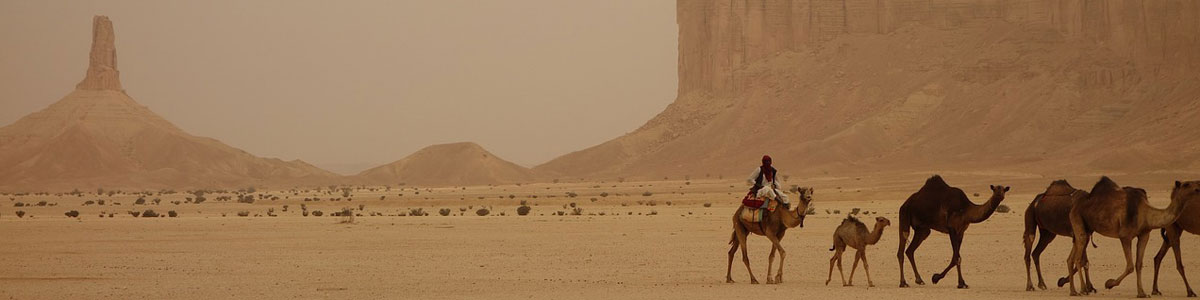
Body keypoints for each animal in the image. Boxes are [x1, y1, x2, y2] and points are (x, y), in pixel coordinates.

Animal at [1065, 176, 1195, 296]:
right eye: (1186, 184)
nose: (1197, 188)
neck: (1146, 213)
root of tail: (1074, 206)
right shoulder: (1125, 236)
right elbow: (1130, 266)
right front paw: (1109, 283)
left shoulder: (1144, 235)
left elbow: (1139, 264)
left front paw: (1141, 293)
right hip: (1077, 219)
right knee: (1078, 257)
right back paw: (1083, 290)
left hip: (1087, 229)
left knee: (1072, 256)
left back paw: (1073, 291)